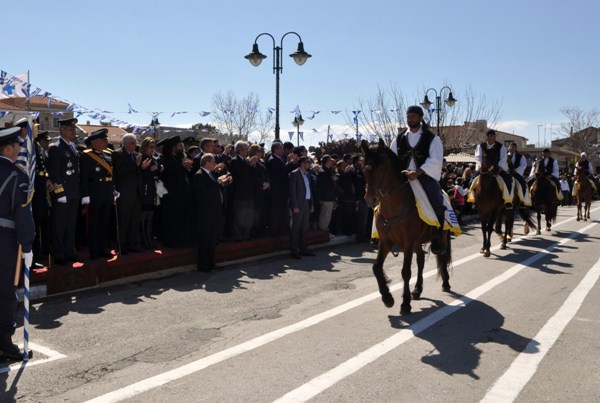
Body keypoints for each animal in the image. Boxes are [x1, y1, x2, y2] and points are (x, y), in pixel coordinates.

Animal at [360, 140, 450, 318]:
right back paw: (417, 290)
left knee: (442, 256)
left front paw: (405, 304)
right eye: (364, 167)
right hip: (418, 242)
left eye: (381, 167)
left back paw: (445, 283)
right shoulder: (385, 242)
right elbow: (376, 267)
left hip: (441, 238)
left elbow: (405, 272)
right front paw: (387, 298)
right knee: (421, 260)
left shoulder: (407, 243)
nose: (370, 199)